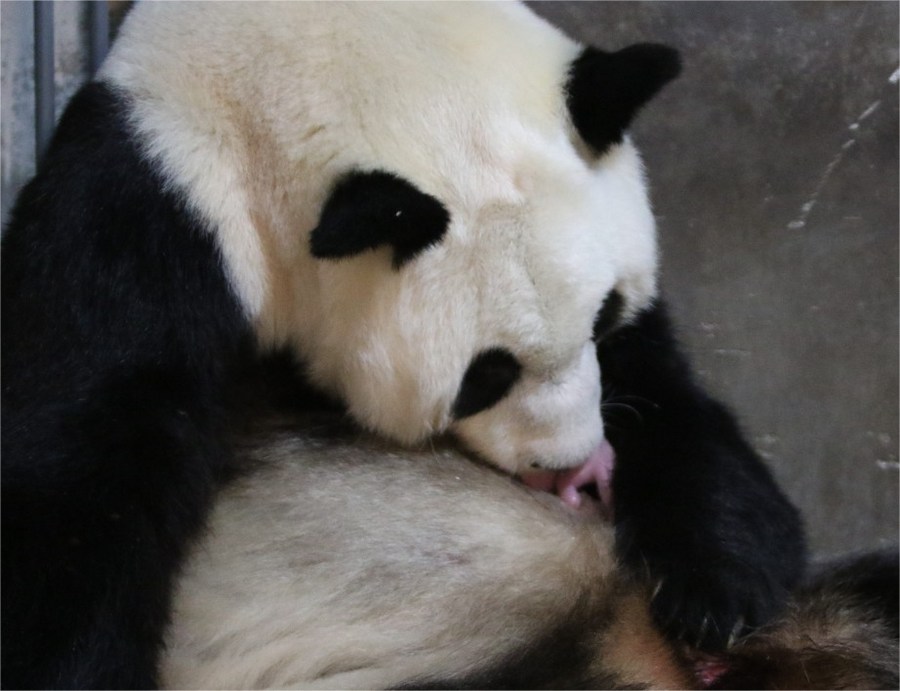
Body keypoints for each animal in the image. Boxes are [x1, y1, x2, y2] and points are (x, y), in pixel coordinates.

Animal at [0, 2, 800, 688]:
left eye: (606, 314)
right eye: (487, 375)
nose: (572, 467)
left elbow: (665, 388)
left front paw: (721, 586)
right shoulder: (154, 209)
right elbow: (80, 461)